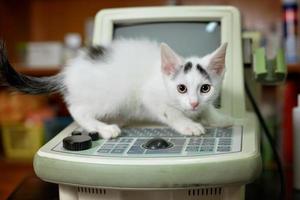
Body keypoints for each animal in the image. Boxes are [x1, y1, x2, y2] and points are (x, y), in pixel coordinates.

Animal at [0, 39, 232, 139]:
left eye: (205, 88)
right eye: (181, 88)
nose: (193, 103)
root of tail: (67, 72)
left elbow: (208, 109)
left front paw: (220, 118)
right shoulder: (150, 95)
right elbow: (171, 112)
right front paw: (188, 125)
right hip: (112, 95)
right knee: (77, 110)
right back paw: (104, 128)